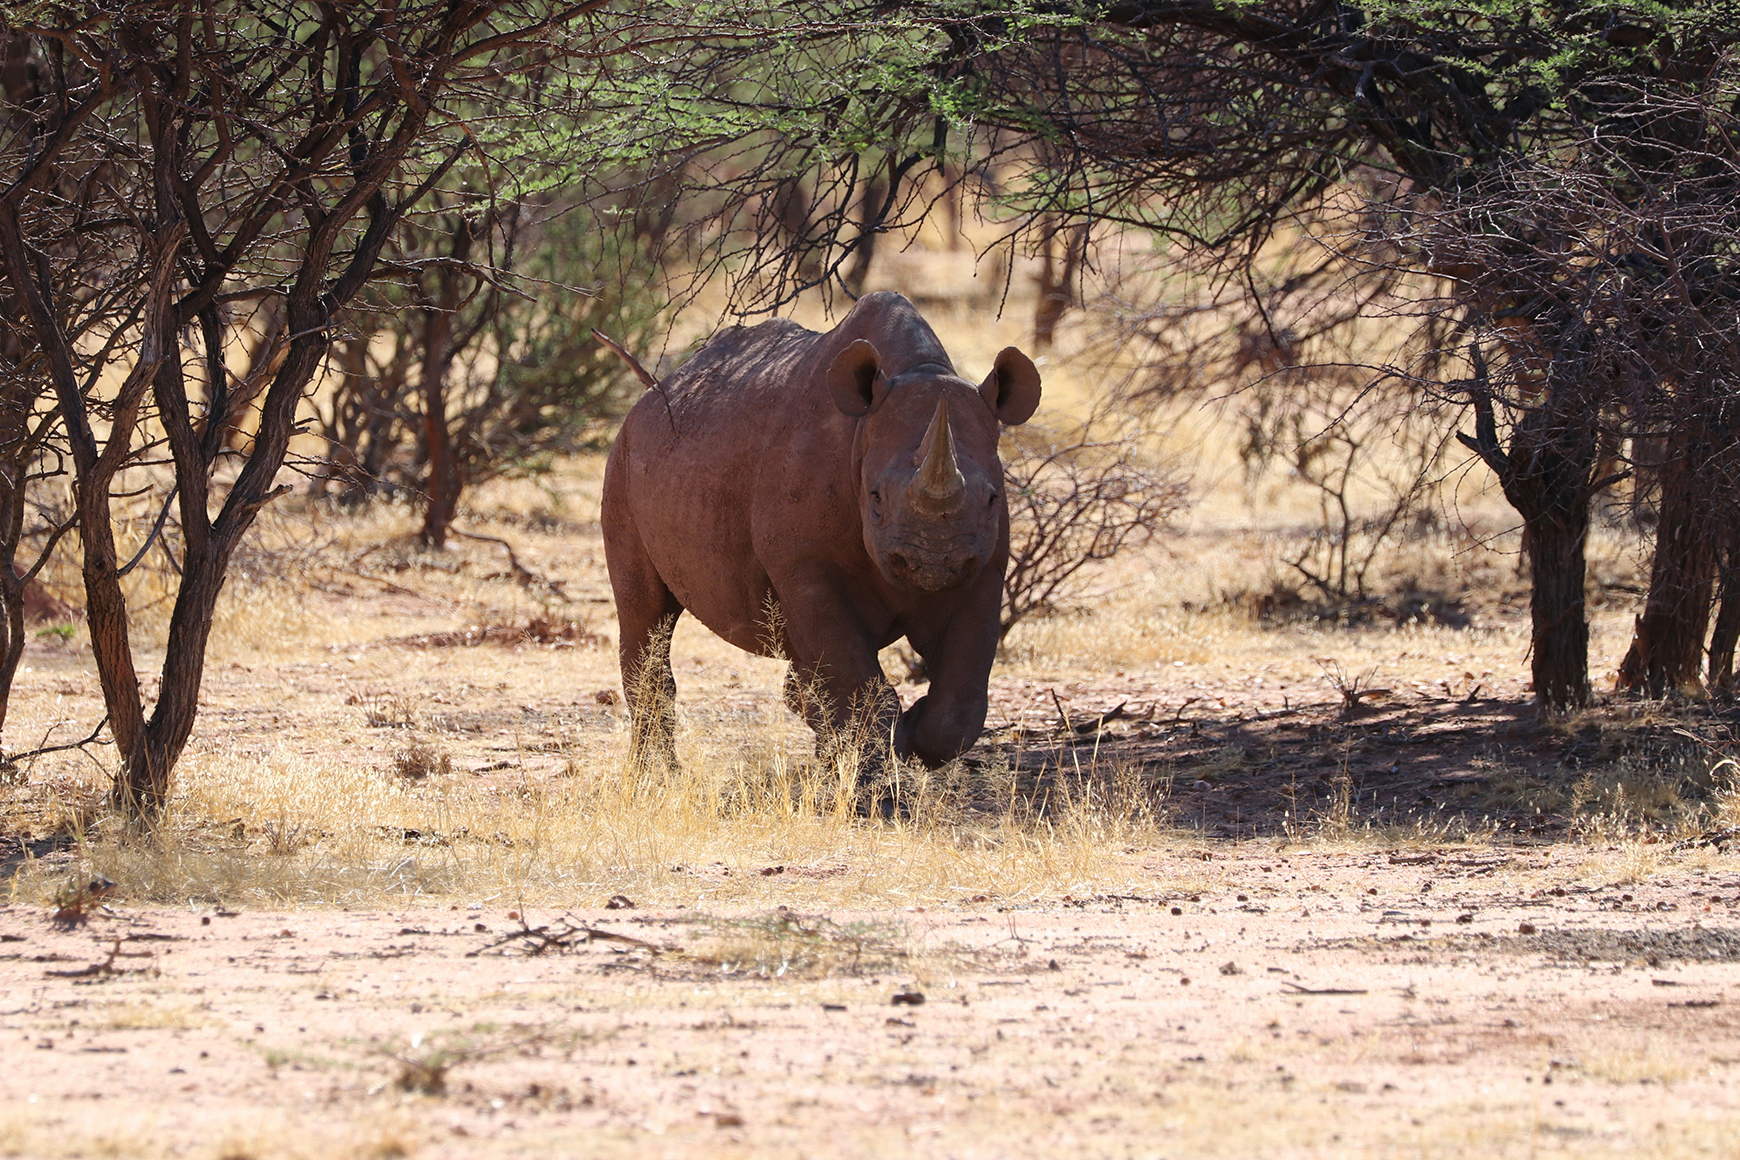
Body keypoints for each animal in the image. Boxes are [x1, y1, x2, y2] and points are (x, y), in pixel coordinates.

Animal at [600, 292, 1041, 809]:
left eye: (992, 499)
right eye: (874, 498)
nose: (932, 563)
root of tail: (651, 396)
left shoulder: (983, 568)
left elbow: (958, 700)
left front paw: (907, 737)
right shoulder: (807, 567)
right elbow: (856, 681)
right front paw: (873, 795)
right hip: (622, 462)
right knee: (645, 613)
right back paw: (657, 780)